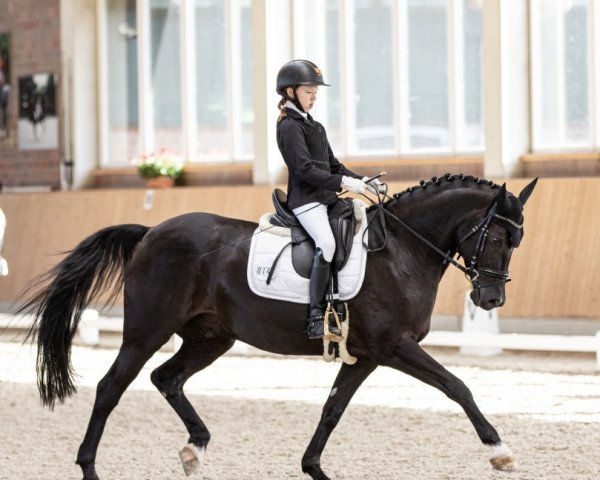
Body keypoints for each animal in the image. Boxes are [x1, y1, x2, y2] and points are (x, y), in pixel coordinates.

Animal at [21, 174, 540, 478]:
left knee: (166, 378)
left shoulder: (365, 356)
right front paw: (499, 449)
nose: (491, 299)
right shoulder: (395, 346)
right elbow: (457, 386)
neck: (400, 251)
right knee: (112, 387)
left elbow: (332, 410)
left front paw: (313, 468)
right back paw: (90, 467)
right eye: (498, 237)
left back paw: (196, 448)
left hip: (211, 338)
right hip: (147, 331)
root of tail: (151, 232)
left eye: (518, 240)